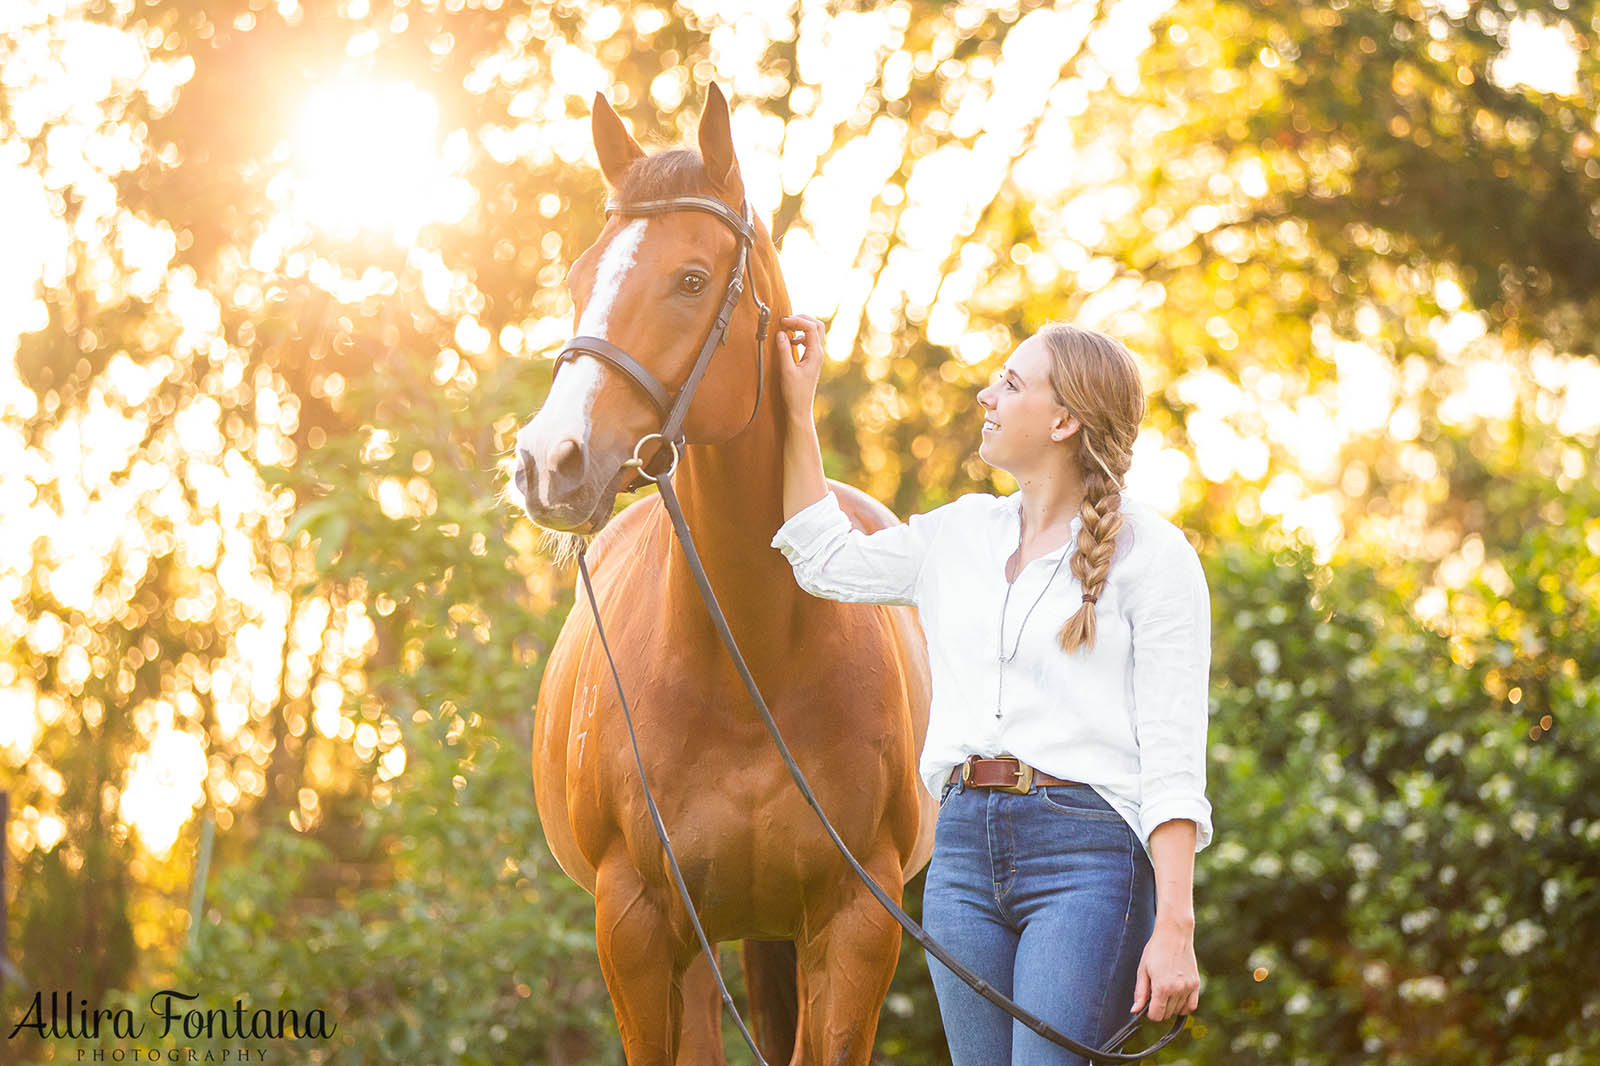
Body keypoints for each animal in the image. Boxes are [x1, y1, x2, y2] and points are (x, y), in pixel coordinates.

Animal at [508, 85, 934, 1062]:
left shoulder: (859, 923)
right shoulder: (634, 921)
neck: (753, 660)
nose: (550, 461)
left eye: (693, 280)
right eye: (580, 277)